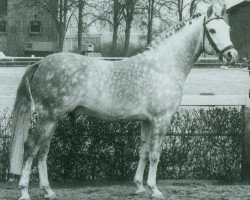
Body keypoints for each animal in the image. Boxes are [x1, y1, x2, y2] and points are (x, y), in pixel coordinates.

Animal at [9, 4, 236, 200]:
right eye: (212, 30)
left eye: (228, 28)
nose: (232, 55)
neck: (163, 65)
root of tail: (40, 63)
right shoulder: (161, 120)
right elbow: (155, 154)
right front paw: (155, 190)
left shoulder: (146, 121)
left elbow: (143, 151)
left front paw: (139, 187)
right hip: (48, 117)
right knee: (31, 147)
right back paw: (24, 191)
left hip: (52, 119)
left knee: (43, 150)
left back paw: (48, 191)